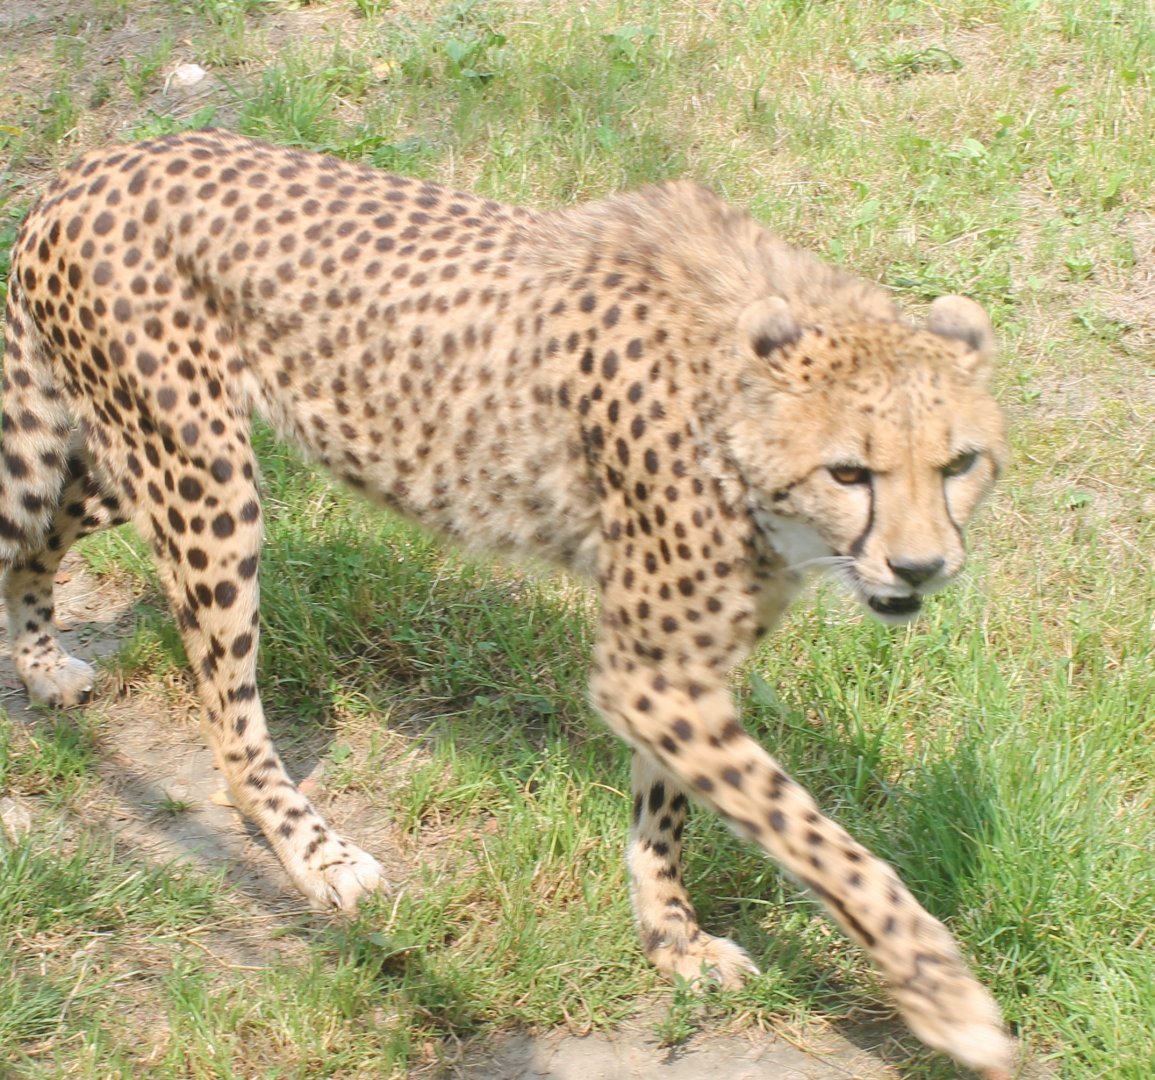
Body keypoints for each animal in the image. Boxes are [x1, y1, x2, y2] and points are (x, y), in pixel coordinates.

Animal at [1, 130, 1013, 1077]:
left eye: (958, 463)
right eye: (850, 471)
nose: (920, 567)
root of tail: (96, 165)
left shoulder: (678, 666)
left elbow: (668, 810)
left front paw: (671, 940)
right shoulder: (651, 670)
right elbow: (815, 836)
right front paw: (945, 997)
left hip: (137, 460)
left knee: (41, 531)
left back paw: (42, 664)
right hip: (205, 477)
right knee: (229, 724)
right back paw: (315, 854)